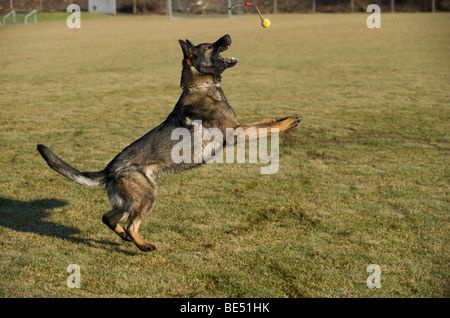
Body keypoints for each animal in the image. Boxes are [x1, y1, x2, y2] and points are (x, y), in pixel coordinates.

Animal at [36, 34, 302, 252]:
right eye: (208, 46)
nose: (227, 35)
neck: (201, 86)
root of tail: (109, 169)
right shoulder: (236, 132)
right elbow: (265, 128)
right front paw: (287, 124)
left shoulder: (240, 125)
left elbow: (266, 120)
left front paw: (288, 117)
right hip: (147, 197)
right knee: (131, 224)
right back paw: (143, 245)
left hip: (128, 202)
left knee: (108, 218)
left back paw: (125, 237)